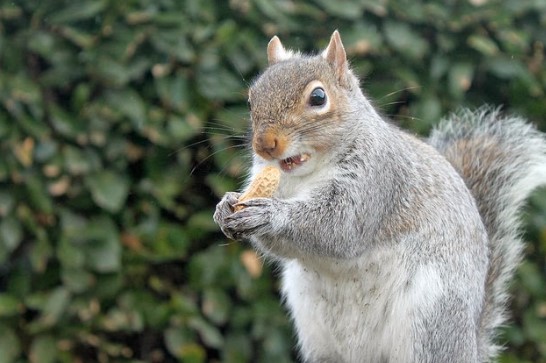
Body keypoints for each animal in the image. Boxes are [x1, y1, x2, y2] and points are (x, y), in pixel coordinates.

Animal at [211, 29, 544, 362]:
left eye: (318, 98)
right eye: (251, 100)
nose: (264, 144)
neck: (307, 175)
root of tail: (470, 347)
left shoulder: (377, 179)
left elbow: (339, 228)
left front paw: (269, 214)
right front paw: (225, 206)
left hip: (431, 320)